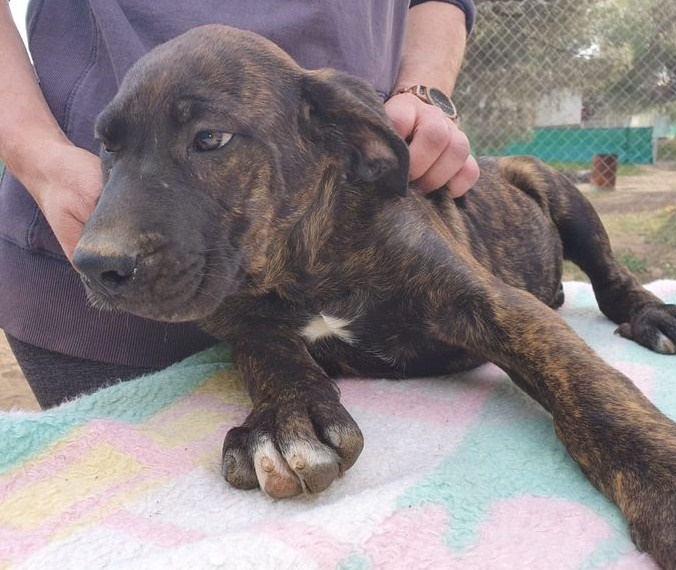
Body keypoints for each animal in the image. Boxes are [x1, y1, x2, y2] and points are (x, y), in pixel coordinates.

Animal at [72, 25, 676, 568]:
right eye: (108, 147)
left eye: (210, 139)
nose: (94, 265)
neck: (302, 260)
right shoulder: (243, 323)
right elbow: (270, 353)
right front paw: (284, 418)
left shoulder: (495, 305)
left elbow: (587, 387)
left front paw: (660, 480)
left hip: (556, 190)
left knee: (609, 278)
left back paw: (651, 316)